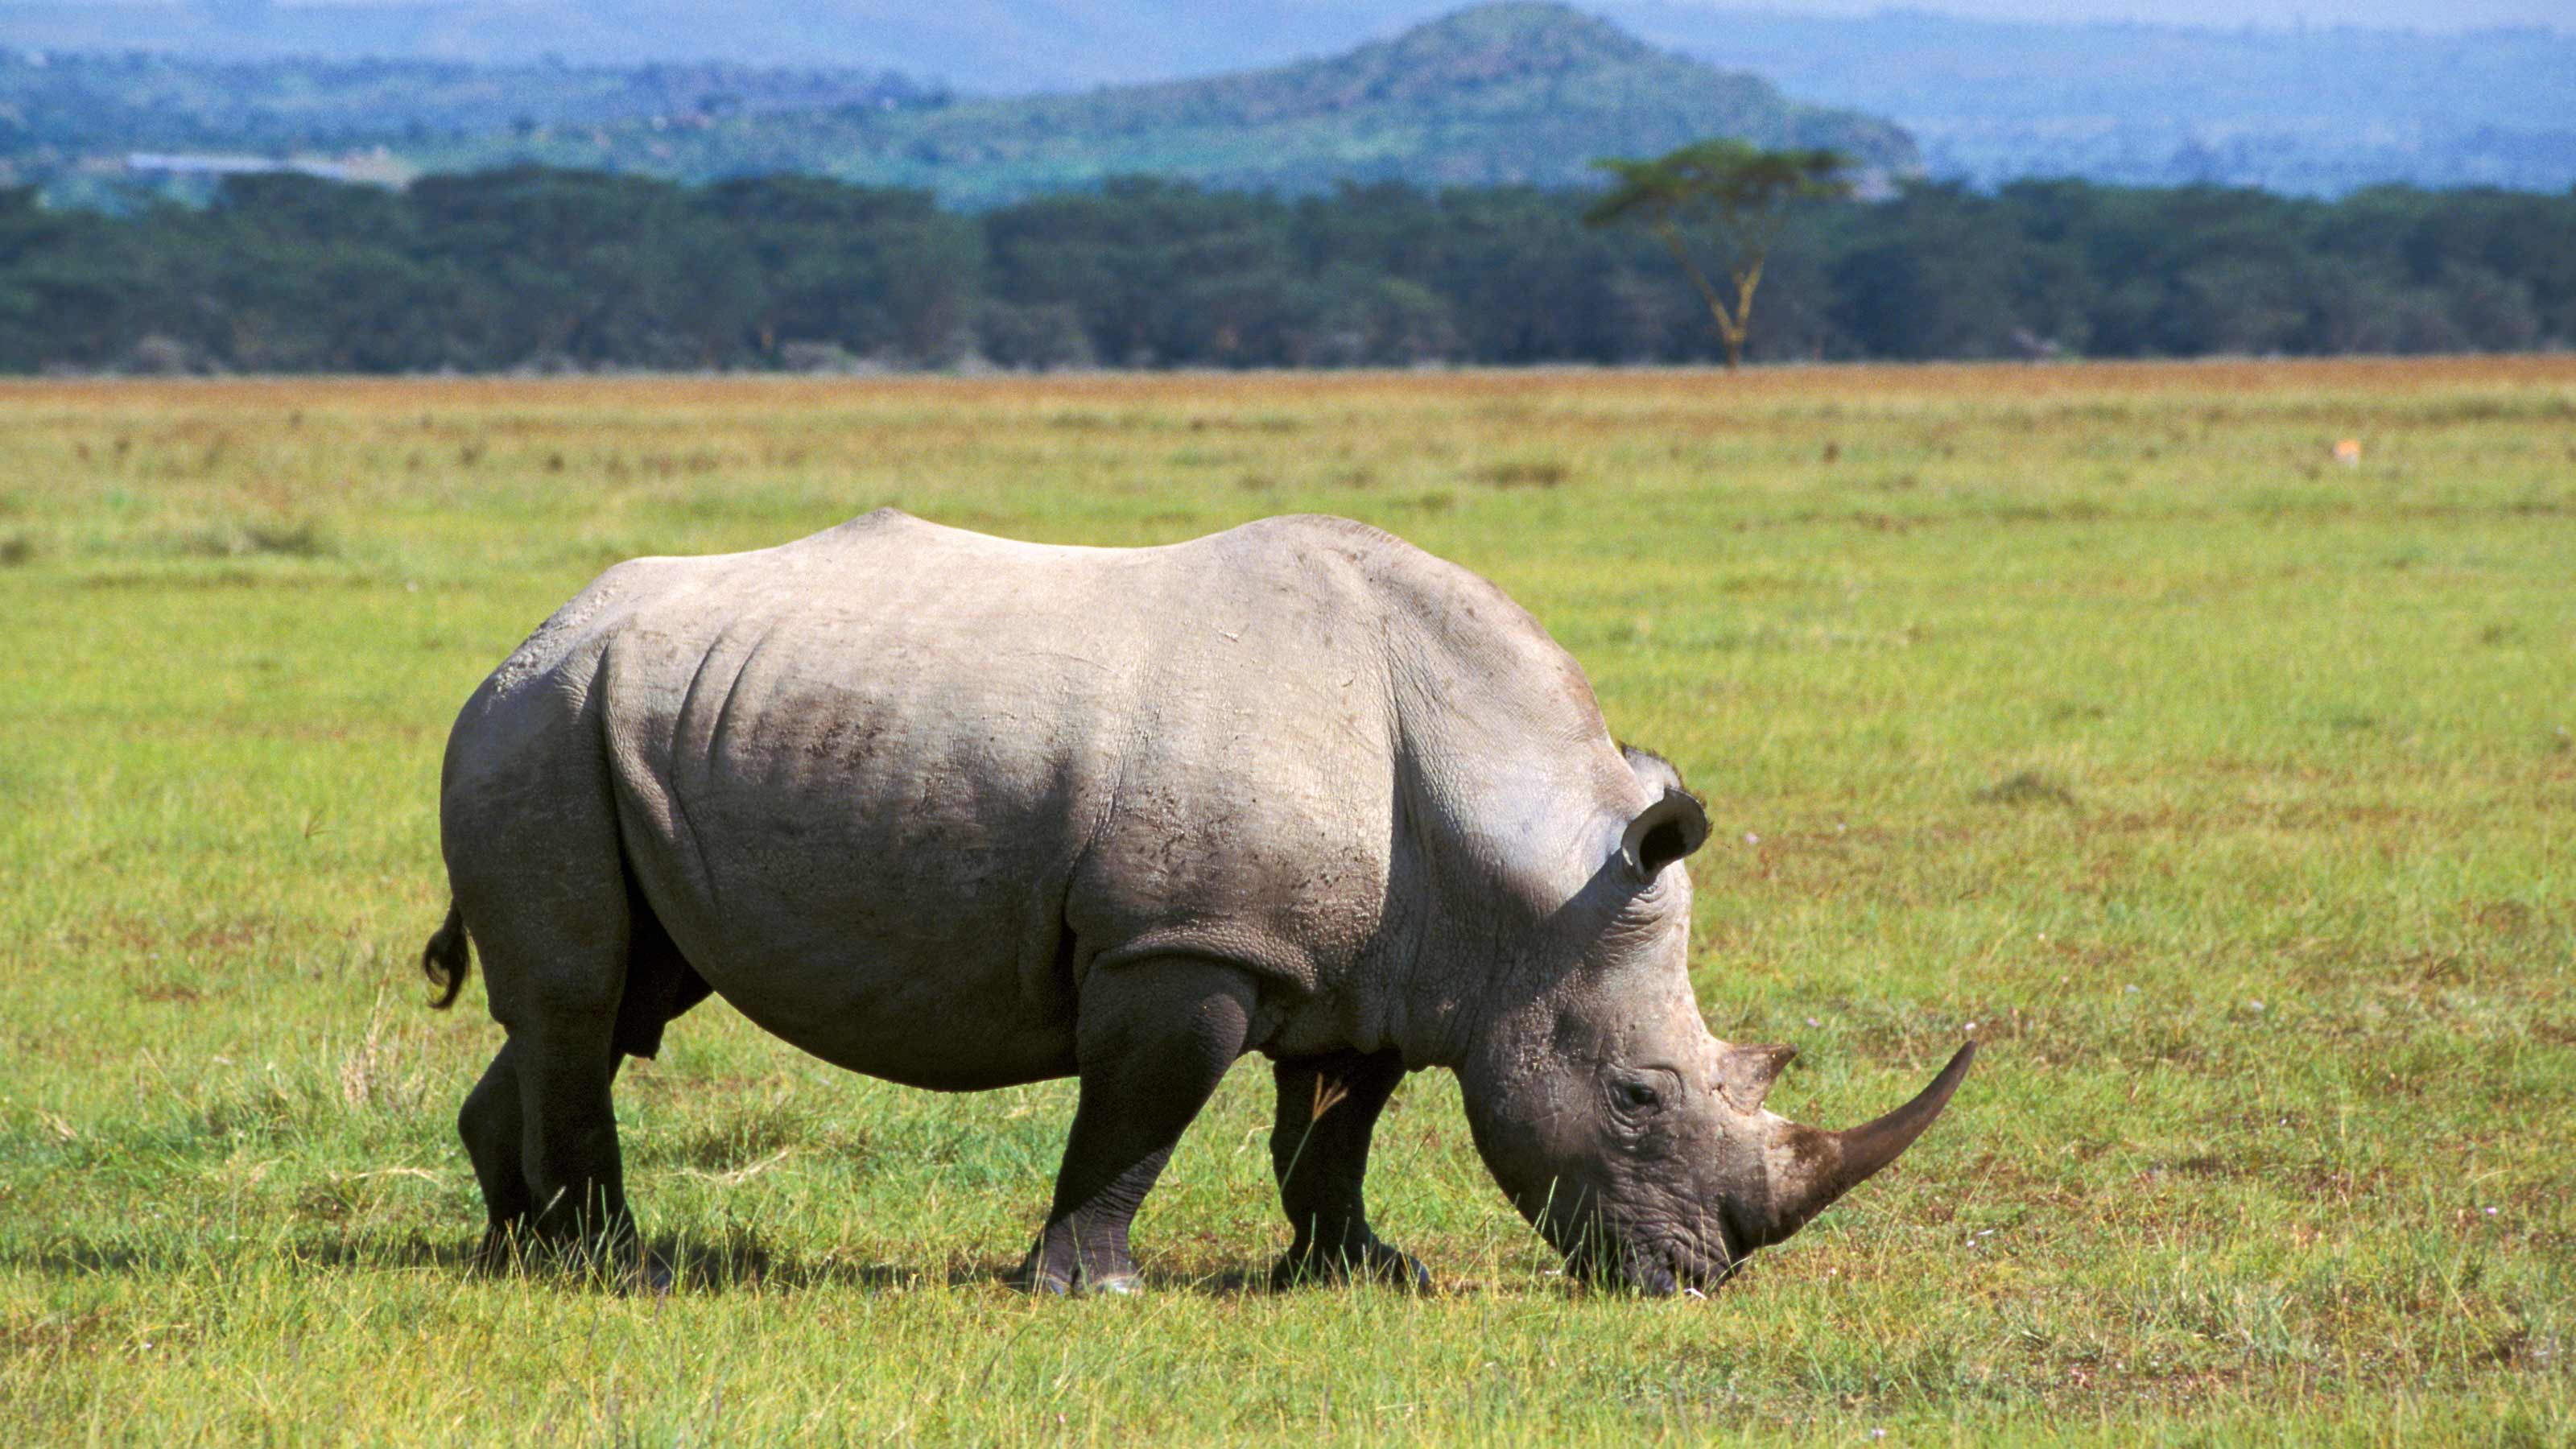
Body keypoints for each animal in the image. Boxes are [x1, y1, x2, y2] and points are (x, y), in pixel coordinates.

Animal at [422, 509, 1972, 1295]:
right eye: (1642, 1097)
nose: (1698, 1276)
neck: (1522, 863)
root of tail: (529, 635)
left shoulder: (1376, 967)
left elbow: (1331, 1135)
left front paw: (1366, 1276)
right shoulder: (1187, 947)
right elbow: (1137, 1122)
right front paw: (1089, 1292)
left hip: (620, 719)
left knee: (616, 996)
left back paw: (512, 1248)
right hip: (539, 727)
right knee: (584, 999)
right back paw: (615, 1269)